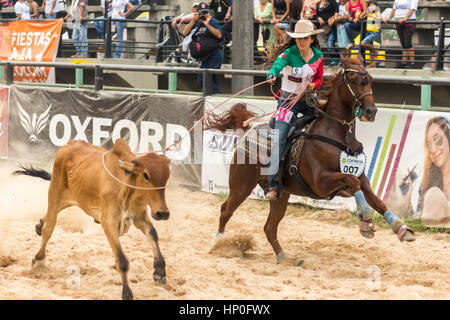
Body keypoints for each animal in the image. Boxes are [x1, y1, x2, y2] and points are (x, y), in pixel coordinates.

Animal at [204, 55, 414, 264]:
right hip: (241, 186)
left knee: (269, 228)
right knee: (225, 210)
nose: (371, 111)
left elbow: (377, 201)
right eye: (354, 80)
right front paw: (366, 222)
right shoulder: (321, 182)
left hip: (280, 196)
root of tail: (248, 130)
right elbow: (352, 181)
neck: (336, 135)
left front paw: (401, 229)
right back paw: (217, 243)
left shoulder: (362, 179)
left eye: (370, 80)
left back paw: (284, 257)